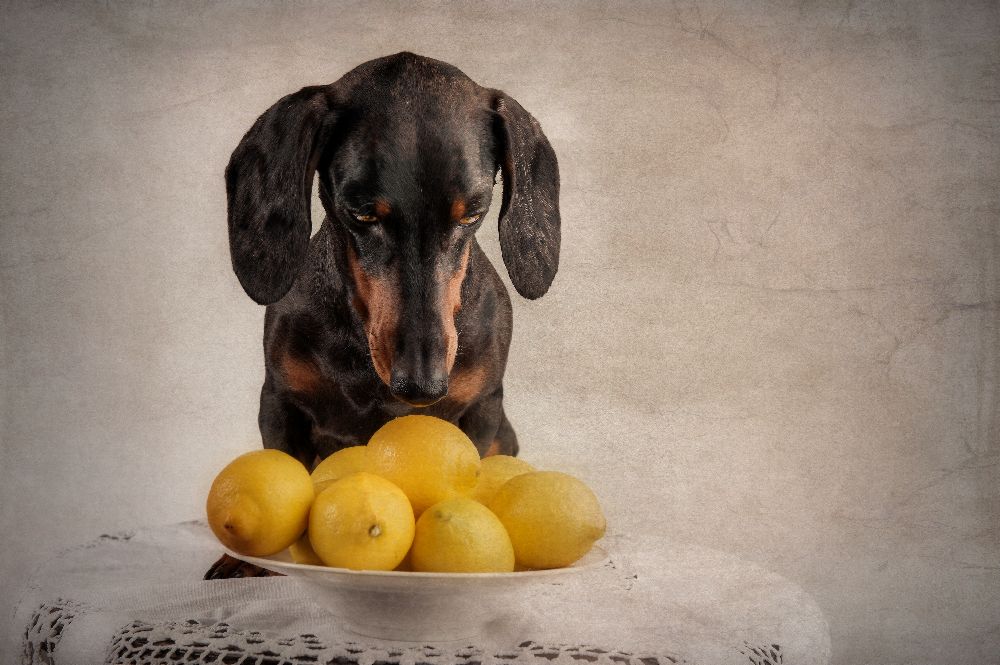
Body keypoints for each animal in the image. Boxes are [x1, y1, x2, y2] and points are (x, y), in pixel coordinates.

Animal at [206, 54, 560, 580]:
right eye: (362, 214)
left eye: (471, 213)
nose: (422, 385)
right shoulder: (279, 402)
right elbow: (276, 469)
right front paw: (243, 560)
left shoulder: (482, 412)